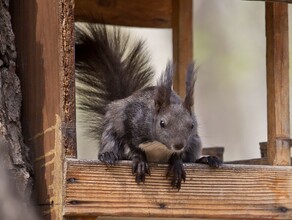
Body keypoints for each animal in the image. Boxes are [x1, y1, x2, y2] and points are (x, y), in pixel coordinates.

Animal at [75, 23, 221, 190]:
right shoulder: (130, 122)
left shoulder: (190, 139)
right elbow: (133, 145)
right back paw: (108, 155)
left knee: (191, 158)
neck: (159, 145)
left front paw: (177, 163)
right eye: (162, 123)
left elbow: (179, 157)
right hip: (111, 131)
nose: (178, 145)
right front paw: (139, 160)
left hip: (195, 143)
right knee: (111, 142)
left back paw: (207, 159)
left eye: (191, 125)